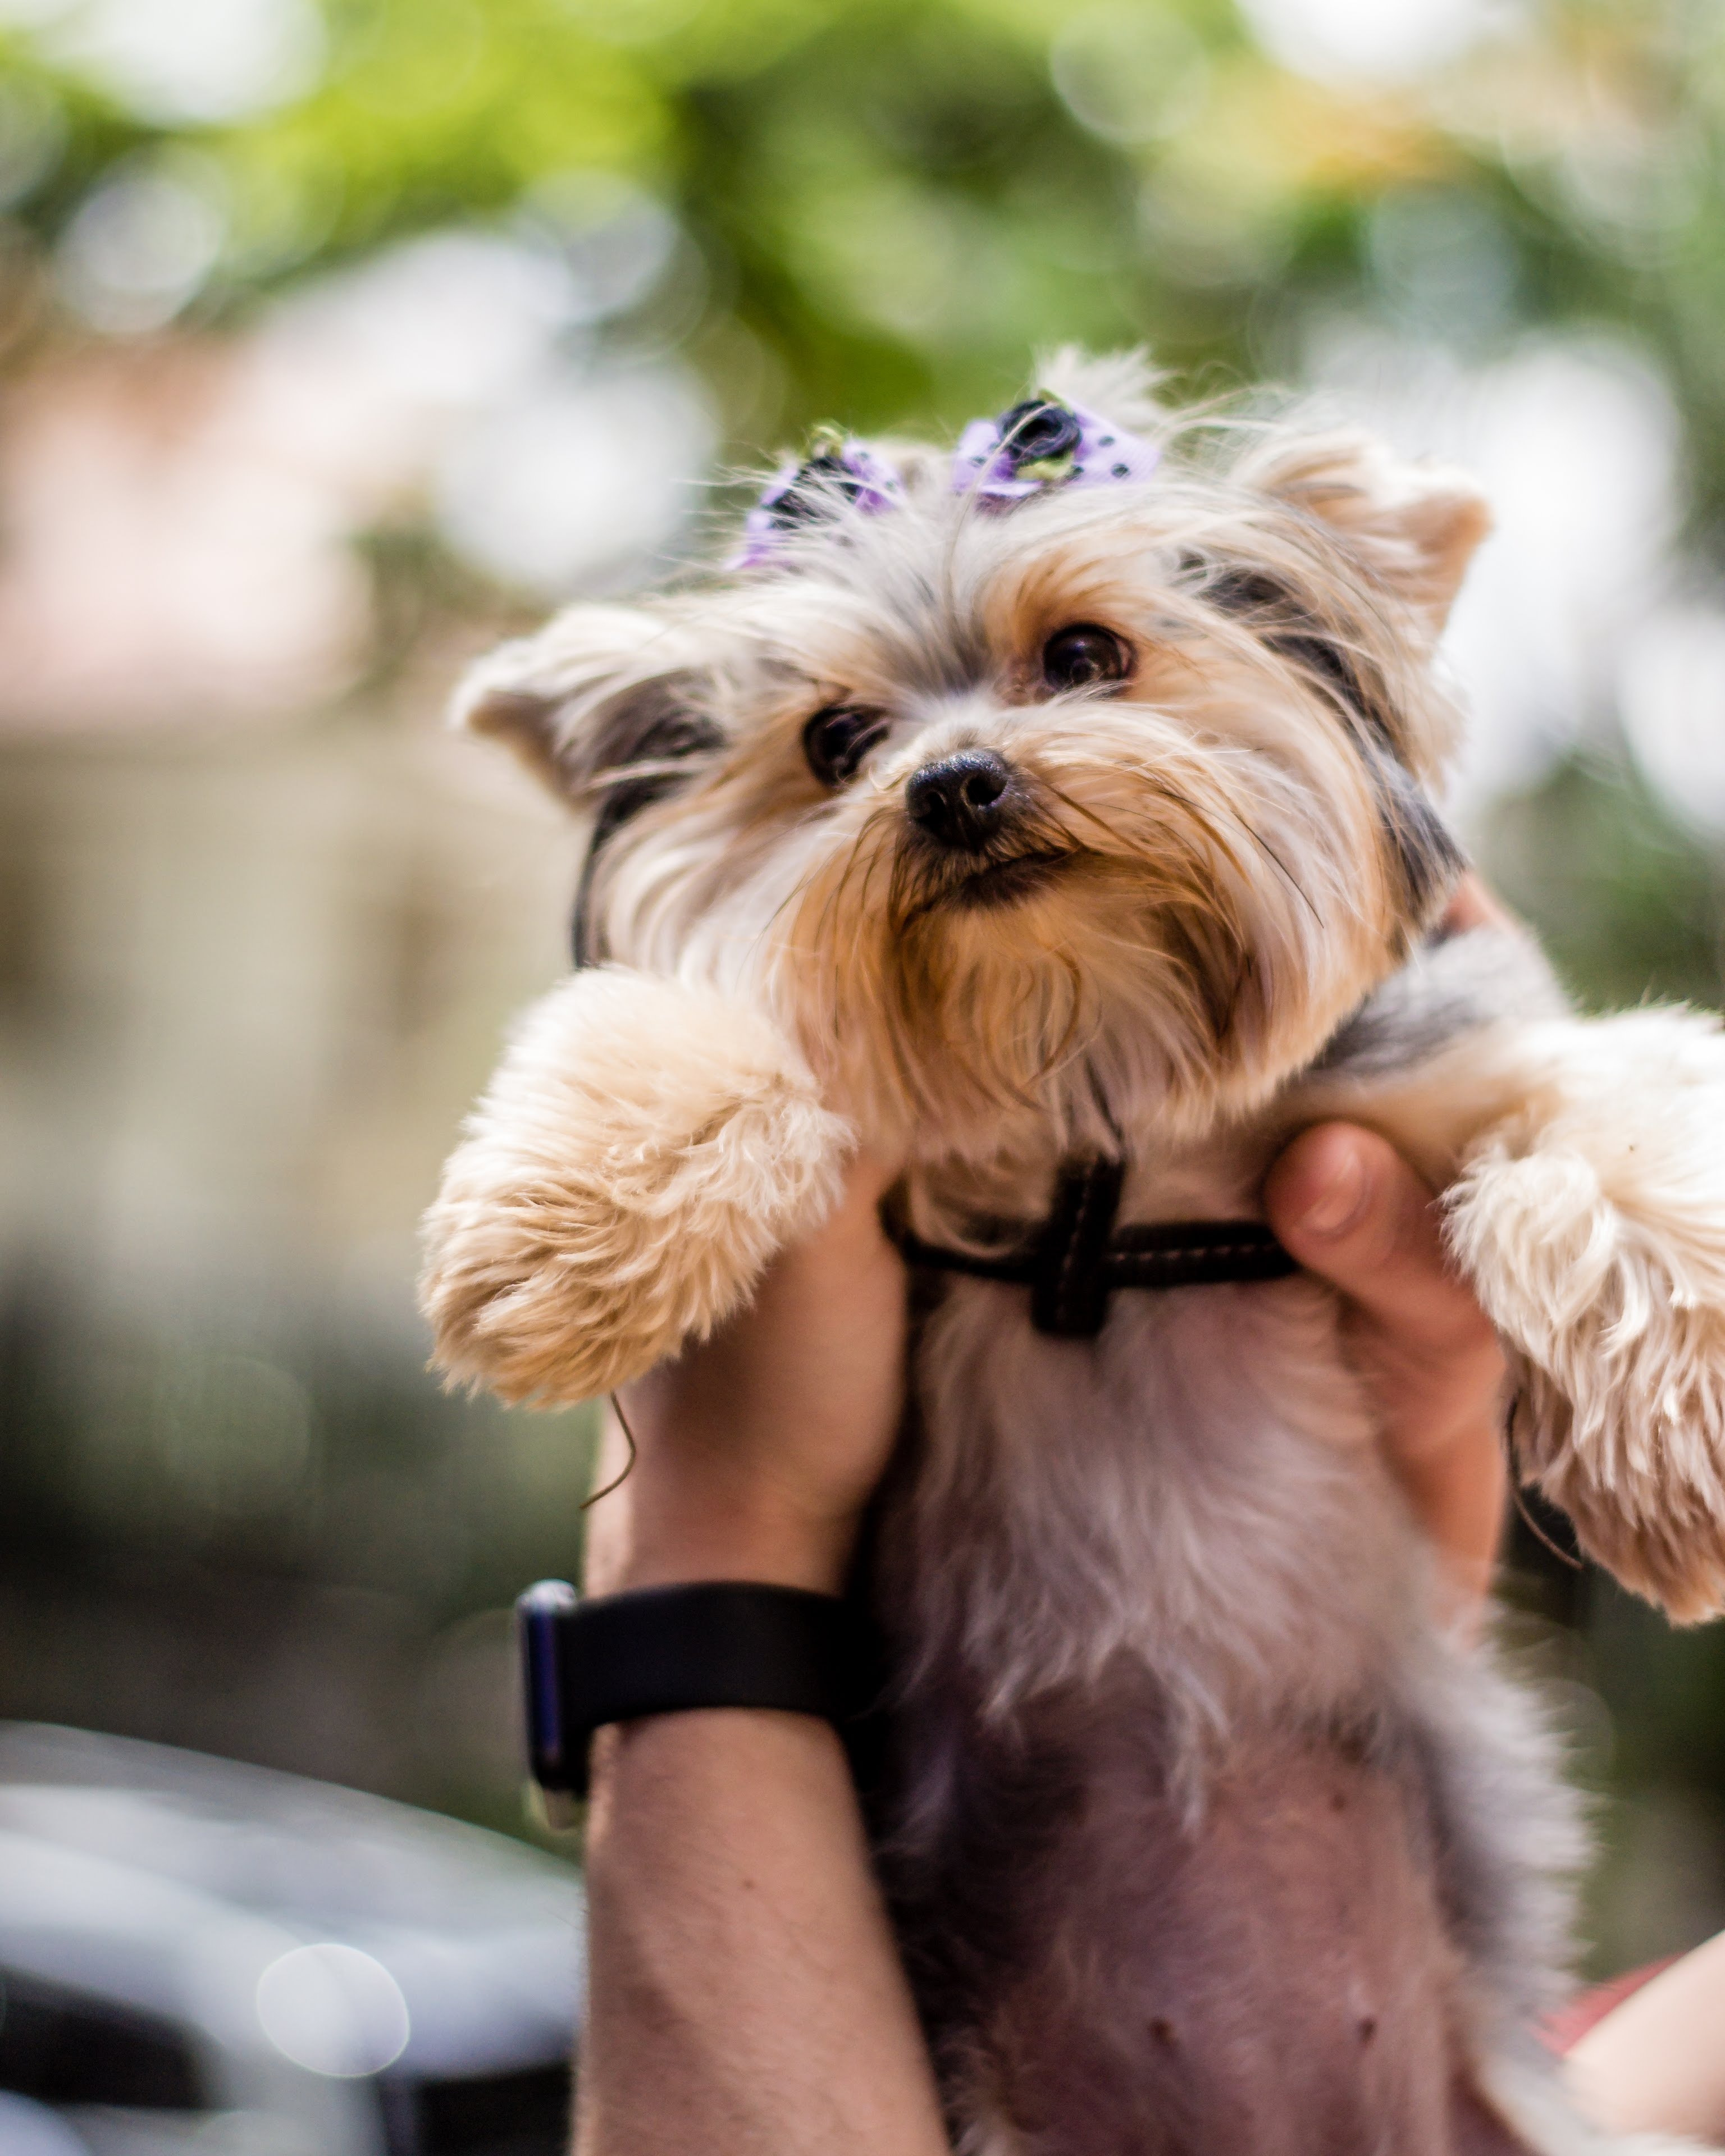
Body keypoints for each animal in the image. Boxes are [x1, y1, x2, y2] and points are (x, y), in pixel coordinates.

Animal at [418, 358, 1725, 2156]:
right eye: (835, 743)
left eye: (1089, 655)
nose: (953, 781)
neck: (1087, 1080)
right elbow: (704, 1018)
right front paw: (561, 1237)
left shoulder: (1440, 1069)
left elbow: (1619, 1115)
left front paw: (1675, 1454)